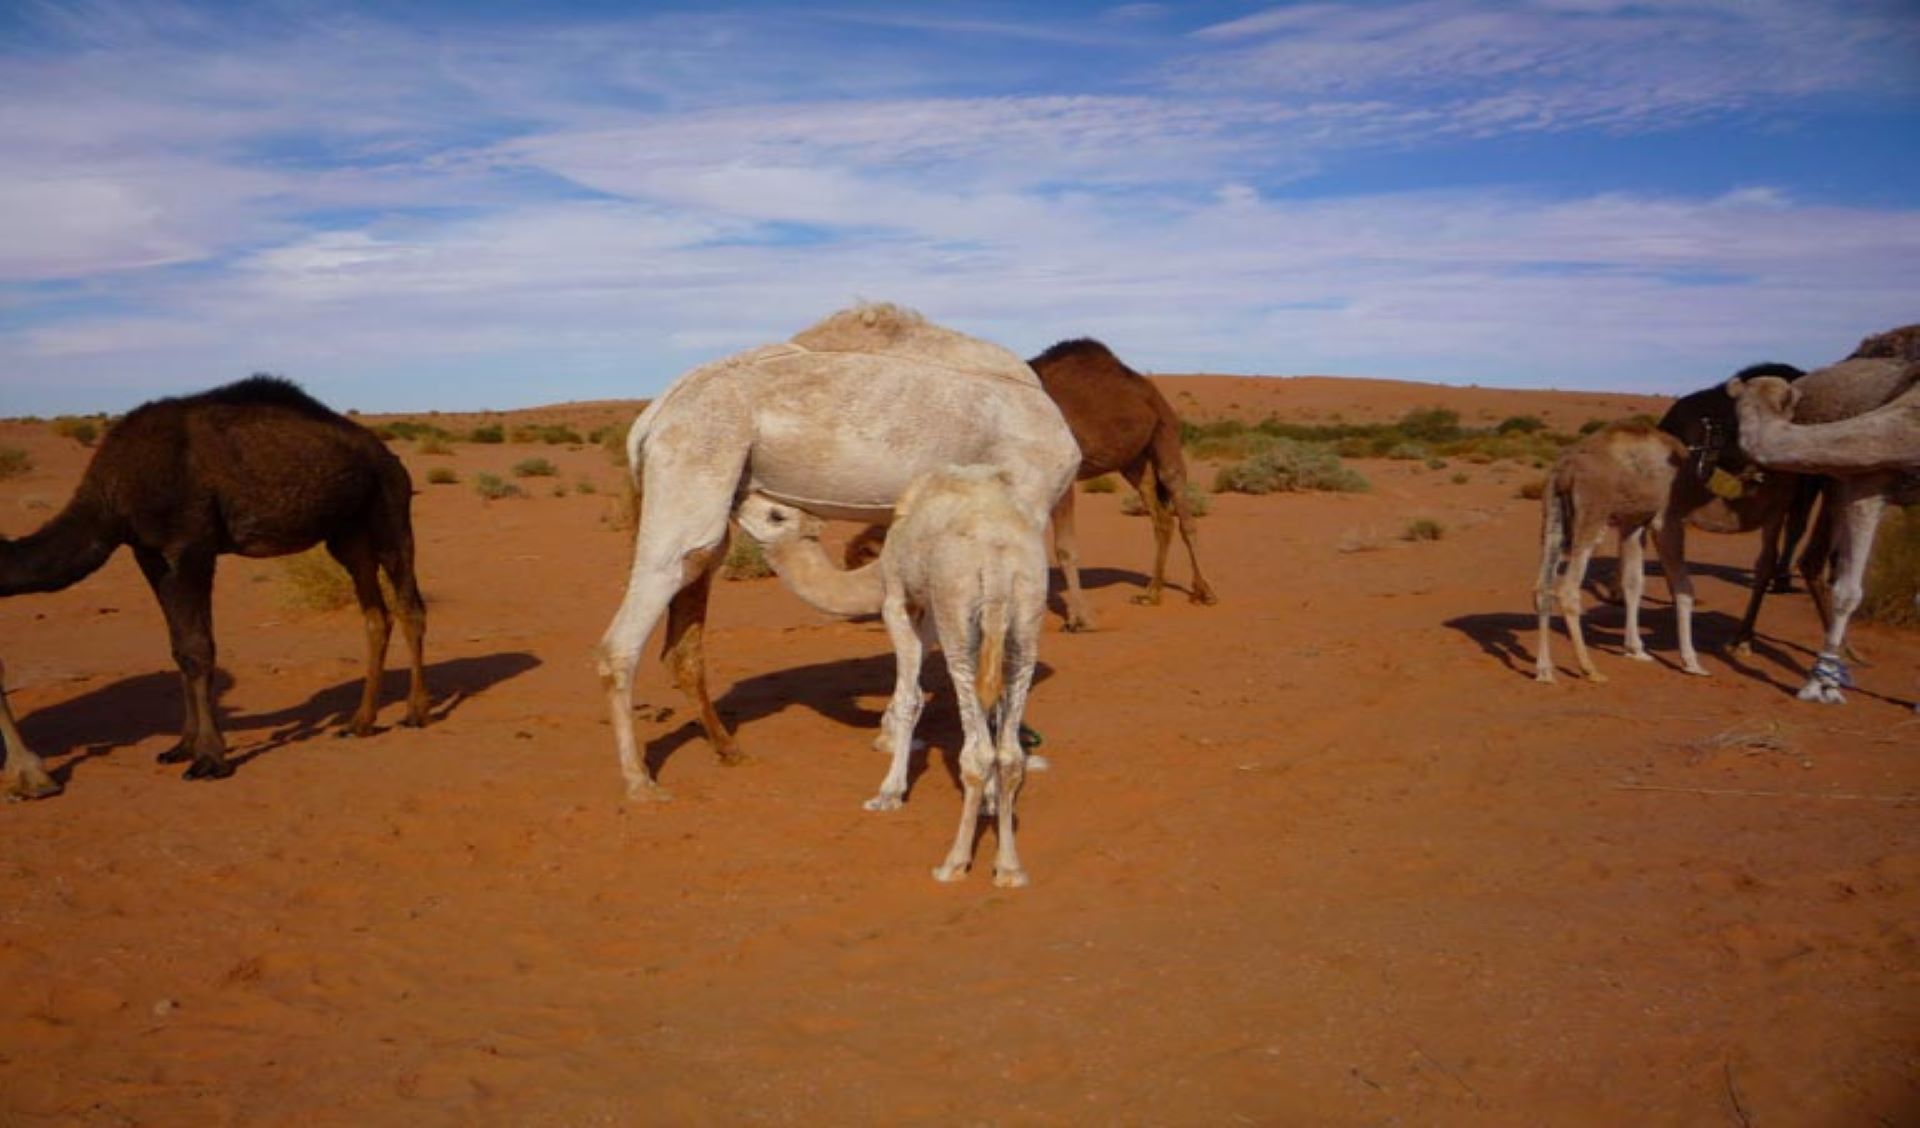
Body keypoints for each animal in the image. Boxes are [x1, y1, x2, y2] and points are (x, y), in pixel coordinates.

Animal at [0, 374, 428, 798]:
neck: (113, 491)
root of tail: (388, 455)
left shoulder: (192, 546)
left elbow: (198, 649)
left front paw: (208, 758)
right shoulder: (149, 554)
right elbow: (179, 649)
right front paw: (181, 747)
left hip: (390, 507)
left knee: (409, 605)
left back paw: (415, 712)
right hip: (346, 533)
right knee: (376, 614)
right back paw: (360, 722)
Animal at [591, 306, 1090, 801]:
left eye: (777, 514)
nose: (757, 505)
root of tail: (653, 417)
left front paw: (892, 734)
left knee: (689, 604)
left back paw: (728, 750)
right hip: (696, 461)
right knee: (624, 638)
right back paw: (639, 780)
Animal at [737, 462, 1052, 886]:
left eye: (776, 515)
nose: (738, 502)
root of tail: (998, 560)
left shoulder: (900, 601)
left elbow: (909, 697)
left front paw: (889, 793)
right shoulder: (942, 611)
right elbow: (990, 710)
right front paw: (989, 801)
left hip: (957, 605)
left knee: (977, 752)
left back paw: (953, 863)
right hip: (1025, 615)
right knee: (1010, 751)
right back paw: (1009, 869)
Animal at [852, 335, 1221, 633]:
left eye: (867, 558)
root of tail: (1149, 390)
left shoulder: (1061, 476)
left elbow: (1065, 547)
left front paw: (1080, 619)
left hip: (1166, 433)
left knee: (1183, 510)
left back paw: (1205, 591)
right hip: (1134, 460)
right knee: (1160, 516)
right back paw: (1151, 594)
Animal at [1536, 418, 1704, 682]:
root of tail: (1565, 469)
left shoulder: (1633, 523)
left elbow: (1634, 582)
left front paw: (1636, 649)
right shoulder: (1667, 520)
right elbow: (1683, 587)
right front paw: (1692, 662)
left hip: (1553, 513)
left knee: (1543, 586)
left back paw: (1544, 671)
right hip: (1593, 514)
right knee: (1568, 589)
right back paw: (1590, 669)